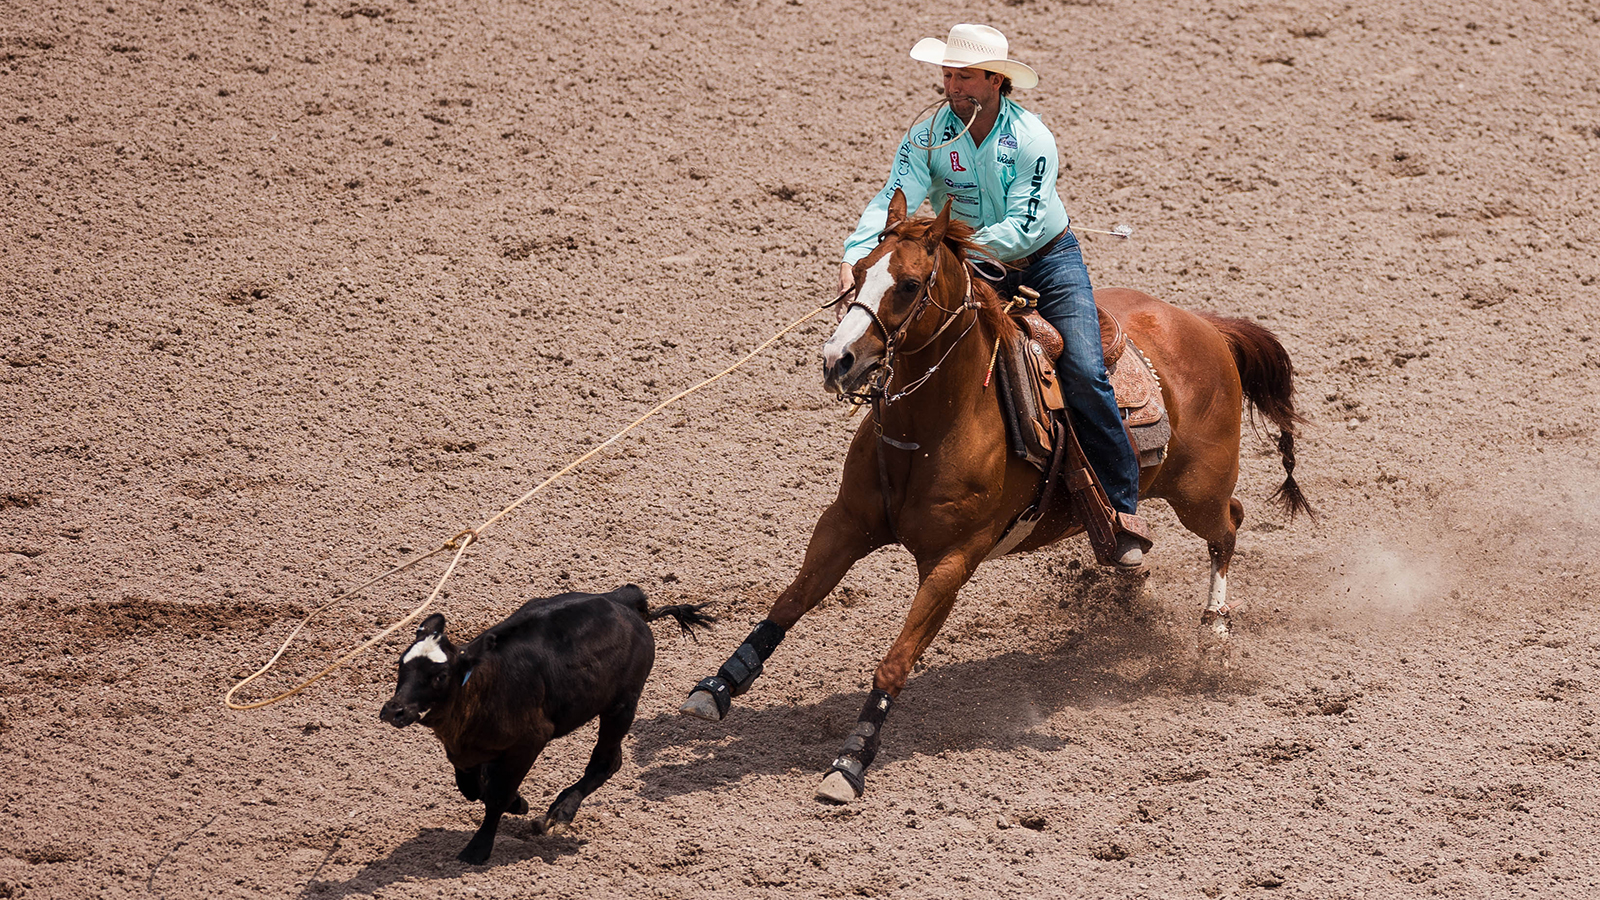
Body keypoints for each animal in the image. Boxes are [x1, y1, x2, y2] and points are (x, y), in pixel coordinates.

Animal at [678, 188, 1312, 797]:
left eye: (908, 285)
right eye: (858, 273)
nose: (839, 361)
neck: (932, 430)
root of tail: (1206, 326)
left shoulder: (952, 560)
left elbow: (895, 662)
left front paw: (852, 760)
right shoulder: (846, 523)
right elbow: (789, 602)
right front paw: (717, 686)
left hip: (1197, 491)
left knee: (1229, 527)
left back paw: (1214, 634)